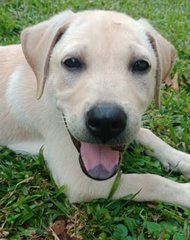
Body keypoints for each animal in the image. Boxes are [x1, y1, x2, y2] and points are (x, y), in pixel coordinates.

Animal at [0, 10, 190, 207]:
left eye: (141, 65)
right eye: (72, 62)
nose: (105, 121)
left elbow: (147, 134)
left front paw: (183, 159)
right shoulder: (81, 182)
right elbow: (150, 181)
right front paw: (185, 192)